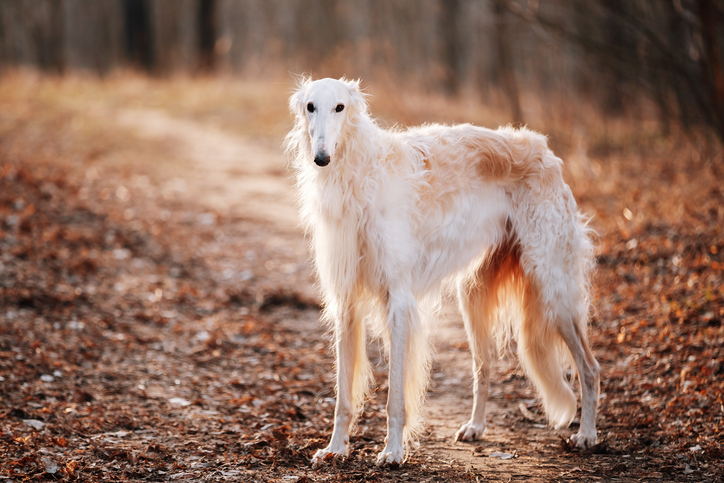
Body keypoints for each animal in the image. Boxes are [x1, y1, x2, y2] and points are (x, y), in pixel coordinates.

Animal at [284, 77, 600, 466]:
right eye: (310, 106)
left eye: (340, 107)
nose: (321, 158)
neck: (359, 175)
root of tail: (547, 153)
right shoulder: (346, 301)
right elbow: (343, 395)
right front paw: (335, 448)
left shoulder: (398, 299)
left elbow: (395, 396)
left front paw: (393, 451)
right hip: (474, 295)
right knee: (484, 366)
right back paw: (475, 426)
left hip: (553, 288)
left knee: (590, 367)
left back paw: (587, 434)